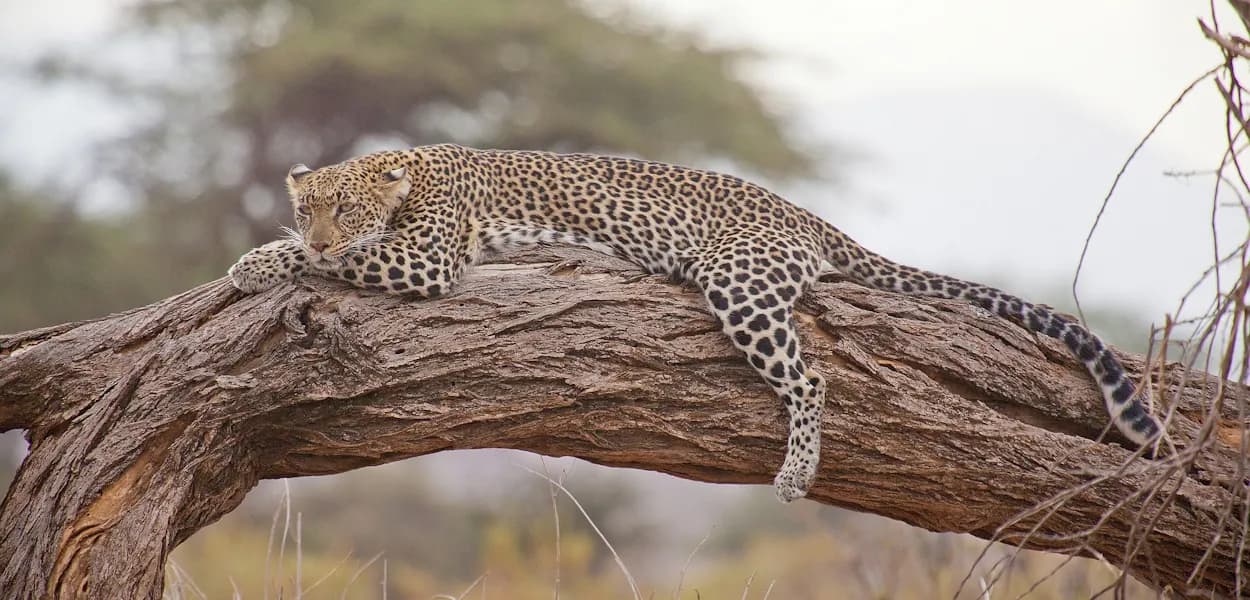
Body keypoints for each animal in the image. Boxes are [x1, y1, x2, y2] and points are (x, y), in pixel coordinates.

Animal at [228, 144, 1164, 502]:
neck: (408, 172)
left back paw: (795, 473)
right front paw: (259, 255)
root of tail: (805, 216)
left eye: (345, 212)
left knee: (810, 375)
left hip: (738, 281)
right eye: (311, 206)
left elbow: (333, 265)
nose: (318, 229)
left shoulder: (426, 257)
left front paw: (263, 263)